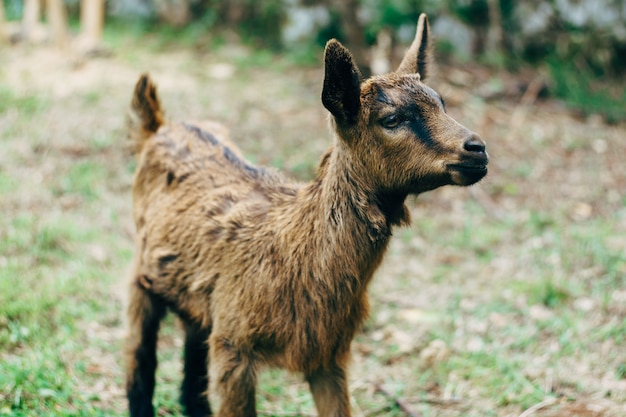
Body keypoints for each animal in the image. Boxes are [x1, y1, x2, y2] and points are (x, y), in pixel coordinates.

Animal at [124, 13, 488, 416]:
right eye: (392, 119)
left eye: (442, 103)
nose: (477, 149)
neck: (296, 253)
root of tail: (157, 126)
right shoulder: (235, 345)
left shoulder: (328, 354)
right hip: (141, 274)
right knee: (139, 354)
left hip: (195, 296)